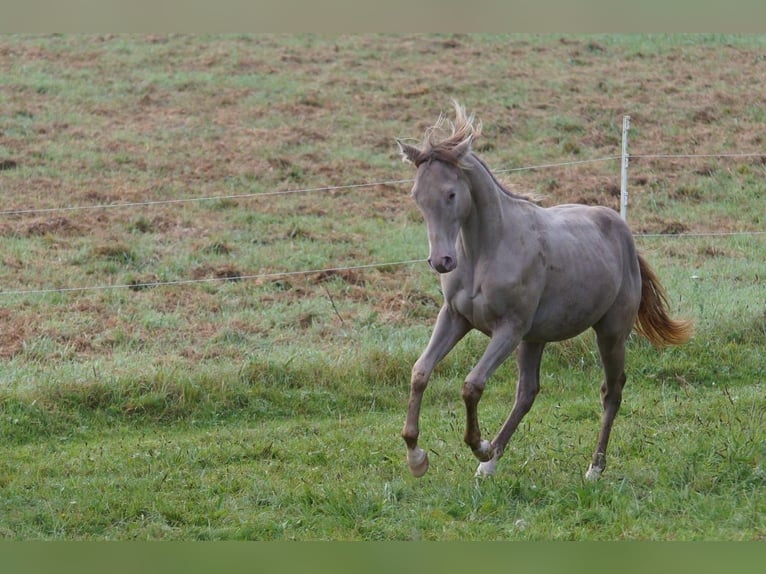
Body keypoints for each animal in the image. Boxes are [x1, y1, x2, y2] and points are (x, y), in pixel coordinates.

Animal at [400, 102, 692, 482]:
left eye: (451, 193)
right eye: (417, 197)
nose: (441, 261)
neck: (487, 250)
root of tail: (623, 232)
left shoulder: (509, 329)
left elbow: (472, 384)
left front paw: (477, 444)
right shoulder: (455, 318)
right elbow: (420, 372)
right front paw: (416, 456)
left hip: (610, 333)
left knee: (611, 390)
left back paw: (593, 468)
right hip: (535, 339)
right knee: (527, 393)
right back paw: (489, 463)